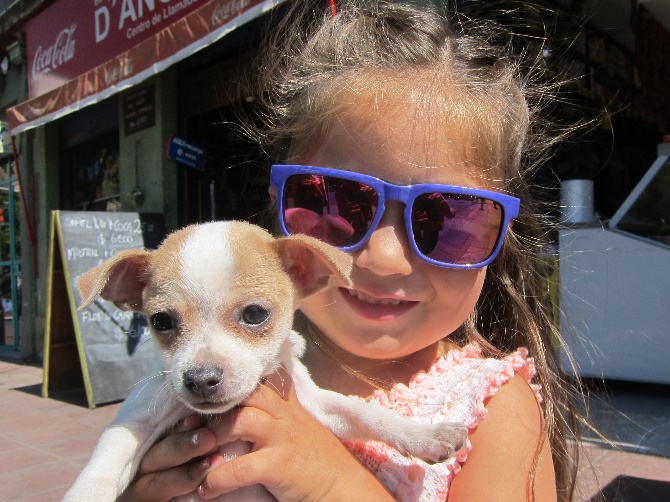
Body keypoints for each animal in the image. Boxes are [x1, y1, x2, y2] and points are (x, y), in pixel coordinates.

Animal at [64, 222, 468, 500]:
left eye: (255, 315)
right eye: (161, 322)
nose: (201, 378)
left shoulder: (316, 406)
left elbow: (365, 413)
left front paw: (425, 435)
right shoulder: (136, 419)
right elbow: (102, 470)